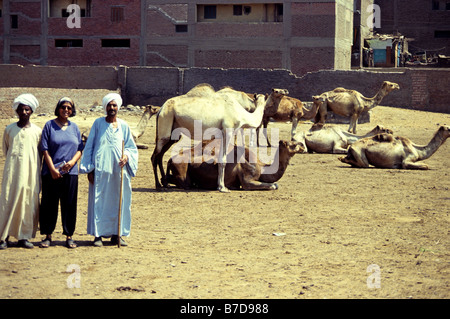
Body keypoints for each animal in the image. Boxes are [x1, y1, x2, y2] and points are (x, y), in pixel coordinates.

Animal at [149, 84, 286, 192]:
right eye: (275, 91)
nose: (285, 91)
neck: (241, 112)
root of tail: (160, 109)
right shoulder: (228, 130)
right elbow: (223, 160)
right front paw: (222, 187)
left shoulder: (221, 134)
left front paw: (220, 185)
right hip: (165, 125)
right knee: (154, 156)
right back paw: (158, 185)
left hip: (173, 134)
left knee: (160, 155)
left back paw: (165, 183)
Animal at [166, 139, 306, 190]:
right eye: (293, 144)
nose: (303, 146)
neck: (262, 167)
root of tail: (171, 159)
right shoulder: (247, 179)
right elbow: (273, 185)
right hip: (182, 169)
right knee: (184, 182)